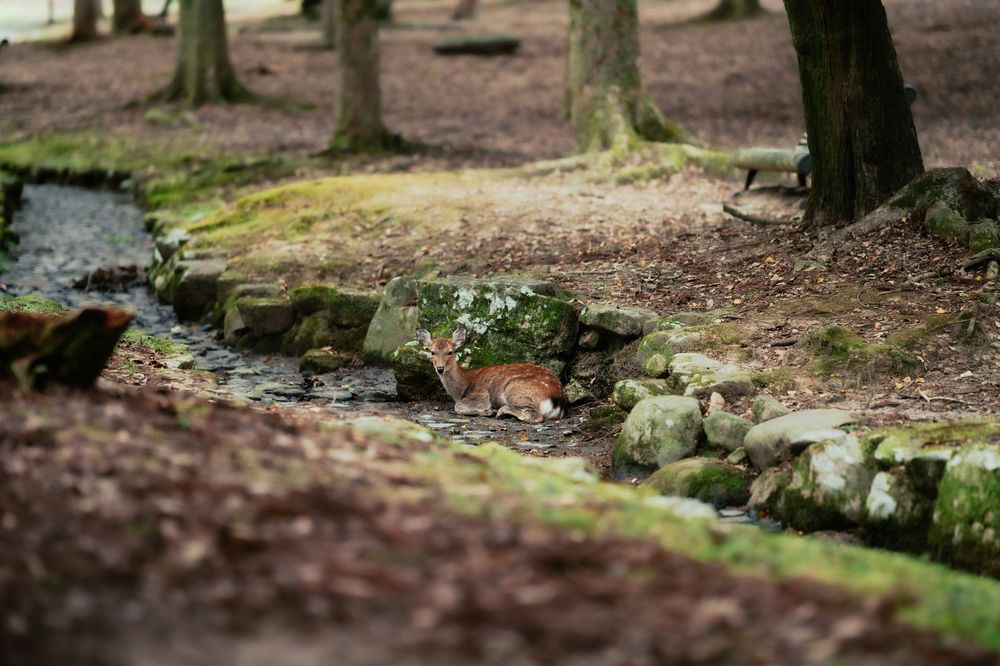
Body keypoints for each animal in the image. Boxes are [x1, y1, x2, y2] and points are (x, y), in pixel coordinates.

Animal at [416, 327, 569, 424]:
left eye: (450, 352)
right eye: (432, 352)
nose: (440, 369)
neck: (462, 388)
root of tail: (558, 398)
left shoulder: (481, 394)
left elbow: (457, 407)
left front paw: (488, 411)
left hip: (514, 389)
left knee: (535, 416)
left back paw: (501, 411)